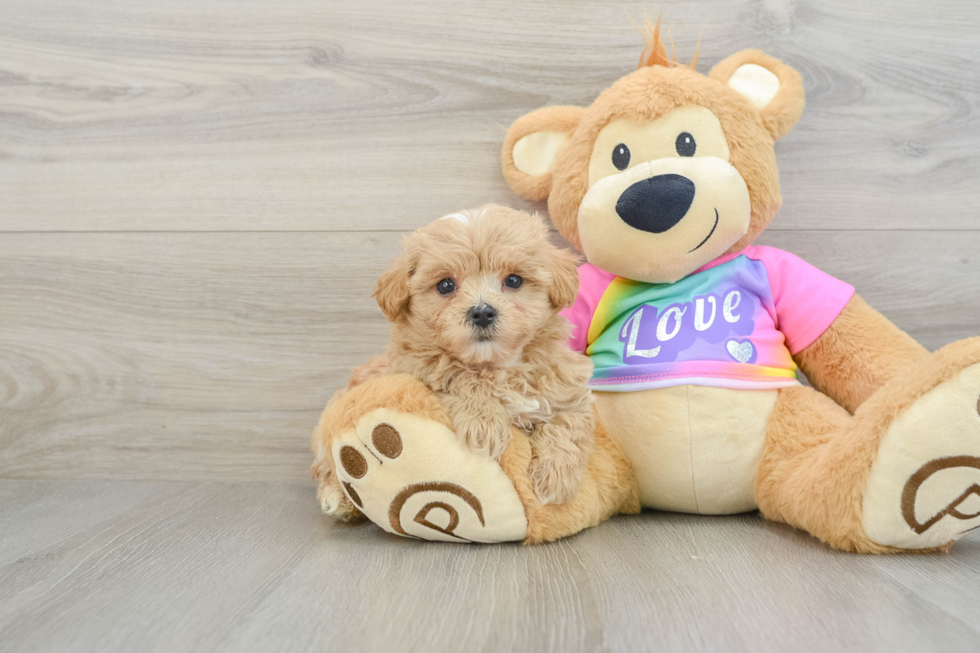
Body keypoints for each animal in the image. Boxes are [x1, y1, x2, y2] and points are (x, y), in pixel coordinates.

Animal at [318, 204, 592, 516]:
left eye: (513, 280)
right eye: (446, 285)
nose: (482, 312)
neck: (497, 366)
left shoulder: (567, 388)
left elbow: (569, 424)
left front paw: (556, 478)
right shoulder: (415, 366)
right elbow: (456, 373)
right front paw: (485, 424)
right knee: (327, 468)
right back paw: (337, 499)